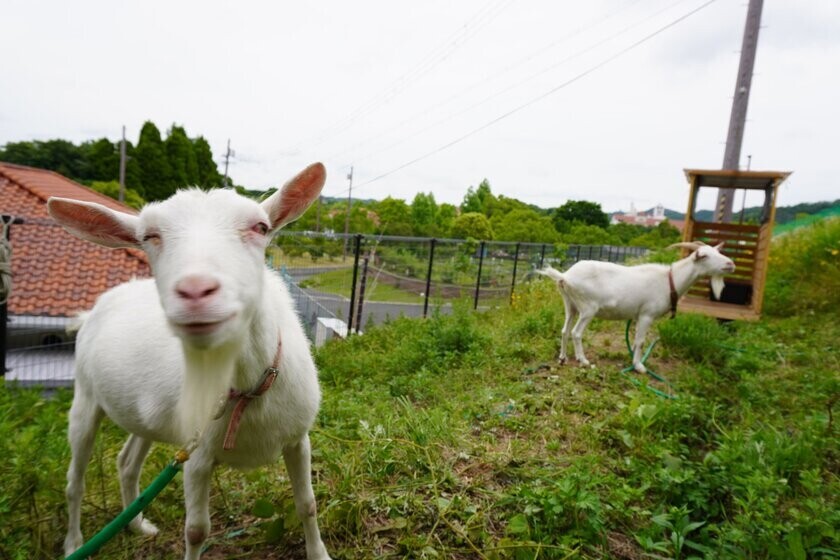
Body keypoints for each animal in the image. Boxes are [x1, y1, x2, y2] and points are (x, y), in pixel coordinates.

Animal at [48, 163, 332, 560]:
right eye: (149, 236)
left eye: (261, 227)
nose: (196, 290)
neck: (245, 392)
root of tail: (94, 309)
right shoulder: (197, 457)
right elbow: (197, 530)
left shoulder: (297, 438)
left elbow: (307, 504)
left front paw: (319, 553)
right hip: (86, 399)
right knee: (75, 480)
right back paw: (74, 542)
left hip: (147, 415)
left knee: (126, 463)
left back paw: (137, 525)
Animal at [540, 243, 732, 374]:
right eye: (705, 256)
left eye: (718, 252)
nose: (731, 264)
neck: (669, 281)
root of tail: (565, 276)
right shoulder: (647, 314)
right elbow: (641, 341)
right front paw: (639, 366)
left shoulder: (639, 316)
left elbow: (634, 341)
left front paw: (633, 358)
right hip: (588, 308)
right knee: (576, 333)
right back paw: (583, 360)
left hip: (570, 304)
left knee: (565, 330)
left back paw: (563, 358)